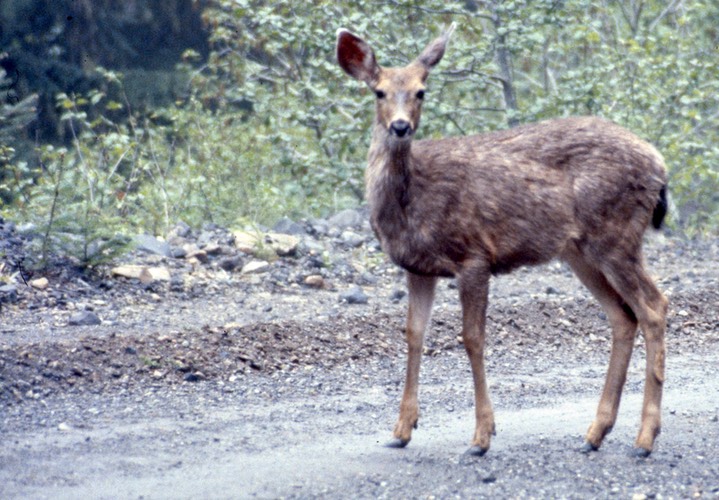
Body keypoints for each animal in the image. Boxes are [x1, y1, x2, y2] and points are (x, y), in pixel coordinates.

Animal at [338, 25, 668, 458]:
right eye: (379, 91)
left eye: (421, 91)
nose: (400, 127)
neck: (411, 202)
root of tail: (660, 165)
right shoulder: (418, 268)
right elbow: (414, 335)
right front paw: (401, 430)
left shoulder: (474, 256)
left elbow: (472, 338)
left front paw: (481, 436)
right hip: (580, 251)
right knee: (622, 316)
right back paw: (596, 433)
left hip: (616, 235)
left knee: (654, 308)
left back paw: (644, 438)